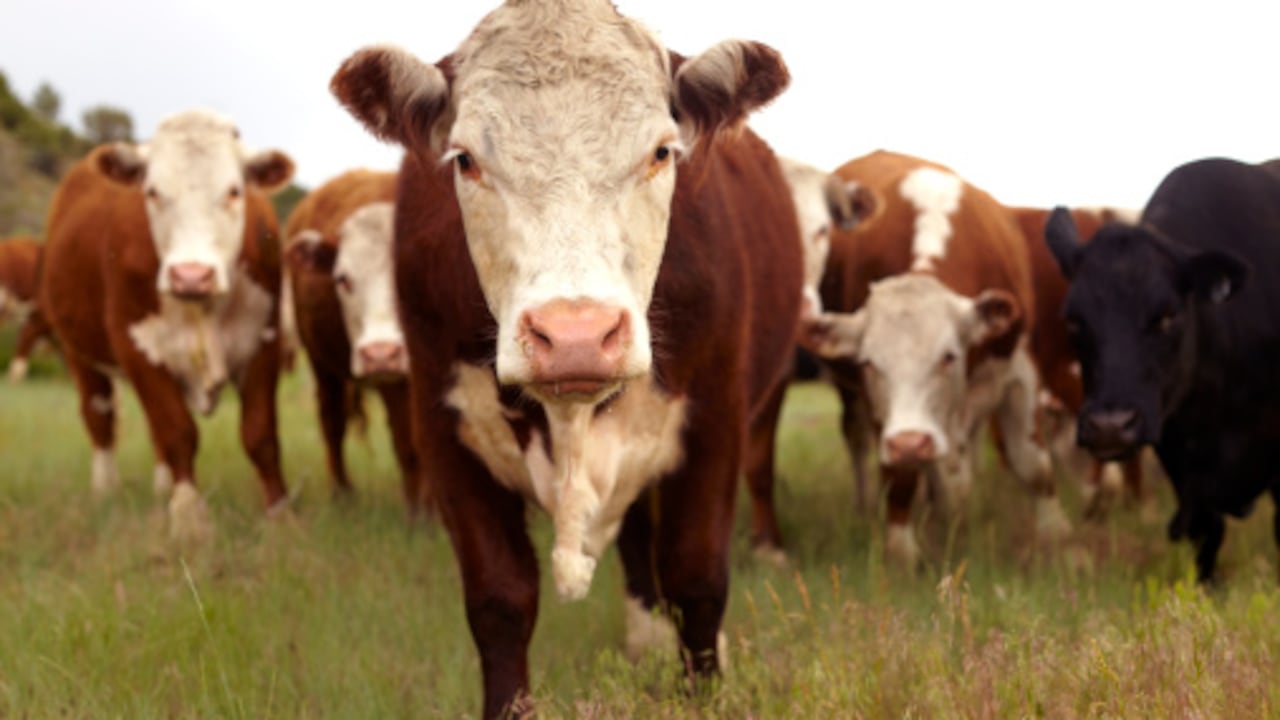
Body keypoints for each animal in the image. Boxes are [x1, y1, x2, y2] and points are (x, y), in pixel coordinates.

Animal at [40, 110, 295, 544]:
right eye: (153, 192)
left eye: (234, 191)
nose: (191, 275)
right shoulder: (138, 348)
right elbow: (177, 431)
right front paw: (189, 518)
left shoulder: (263, 340)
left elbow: (260, 434)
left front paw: (279, 515)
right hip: (78, 353)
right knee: (99, 414)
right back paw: (105, 489)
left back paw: (161, 487)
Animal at [283, 168, 426, 513]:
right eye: (342, 279)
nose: (380, 352)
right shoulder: (395, 382)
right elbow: (409, 445)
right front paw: (421, 512)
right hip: (323, 368)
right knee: (332, 423)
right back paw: (342, 493)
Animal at [329, 0, 799, 715]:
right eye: (465, 160)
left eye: (661, 152)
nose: (575, 334)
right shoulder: (446, 434)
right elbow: (499, 599)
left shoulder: (716, 419)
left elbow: (696, 579)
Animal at [802, 150, 1072, 568]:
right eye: (869, 363)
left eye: (948, 356)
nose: (911, 442)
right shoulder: (884, 414)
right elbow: (900, 478)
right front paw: (903, 554)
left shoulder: (1019, 371)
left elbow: (1034, 466)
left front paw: (1059, 543)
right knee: (859, 440)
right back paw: (869, 509)